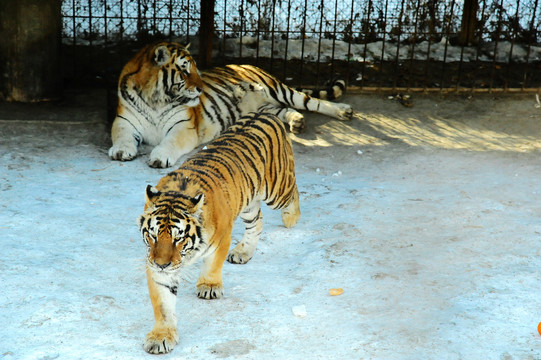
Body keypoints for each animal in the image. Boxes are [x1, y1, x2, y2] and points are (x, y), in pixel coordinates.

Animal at [109, 41, 352, 168]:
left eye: (196, 69)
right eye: (185, 70)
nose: (200, 88)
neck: (156, 101)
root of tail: (245, 64)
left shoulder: (183, 126)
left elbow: (170, 141)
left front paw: (159, 156)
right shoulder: (123, 121)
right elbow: (121, 136)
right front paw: (121, 151)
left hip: (277, 89)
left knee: (311, 101)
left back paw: (344, 111)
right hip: (267, 107)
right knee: (285, 111)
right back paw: (297, 122)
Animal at [138, 112, 300, 354]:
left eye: (178, 238)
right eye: (153, 235)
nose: (161, 264)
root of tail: (266, 112)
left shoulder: (222, 237)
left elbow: (213, 264)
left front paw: (209, 286)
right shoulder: (156, 265)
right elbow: (163, 305)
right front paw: (161, 337)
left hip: (276, 189)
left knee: (293, 191)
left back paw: (291, 217)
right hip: (249, 201)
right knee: (257, 221)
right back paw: (243, 252)